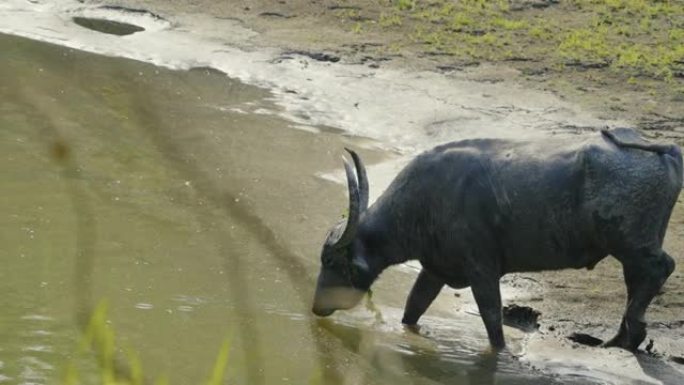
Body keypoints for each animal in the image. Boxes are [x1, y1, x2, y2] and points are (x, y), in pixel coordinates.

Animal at [312, 127, 680, 350]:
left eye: (329, 260)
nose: (316, 307)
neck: (424, 202)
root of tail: (667, 151)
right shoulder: (434, 270)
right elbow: (412, 309)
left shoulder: (482, 272)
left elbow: (493, 323)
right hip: (631, 251)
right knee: (640, 281)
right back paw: (622, 338)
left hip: (632, 245)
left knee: (661, 268)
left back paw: (627, 337)